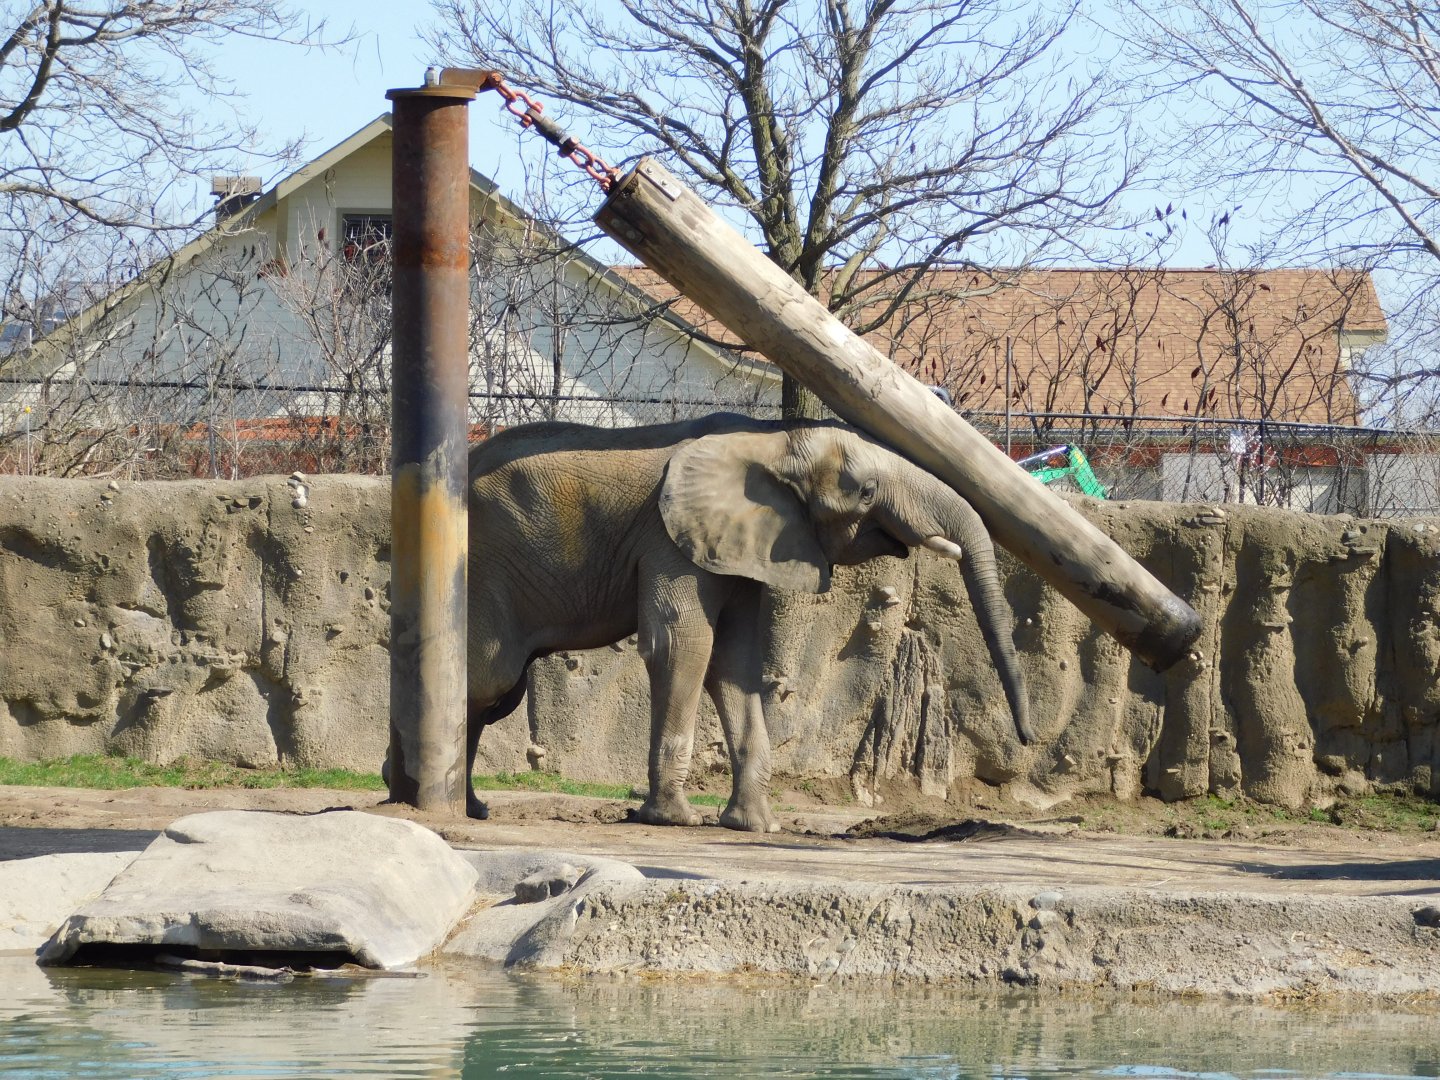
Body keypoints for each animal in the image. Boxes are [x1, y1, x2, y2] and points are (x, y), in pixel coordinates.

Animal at [464, 413, 1032, 830]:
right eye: (867, 491)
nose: (1026, 740)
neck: (773, 439)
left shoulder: (739, 546)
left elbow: (734, 660)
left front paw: (755, 826)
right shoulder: (670, 538)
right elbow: (682, 645)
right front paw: (674, 819)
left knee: (492, 693)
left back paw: (470, 809)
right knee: (489, 680)